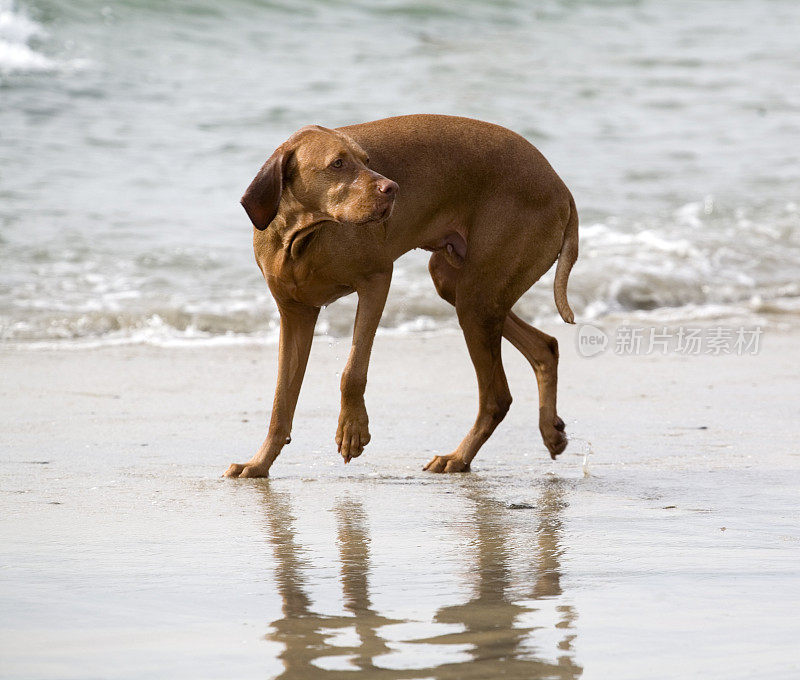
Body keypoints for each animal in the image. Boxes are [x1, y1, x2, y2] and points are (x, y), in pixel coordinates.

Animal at [222, 114, 580, 478]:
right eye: (337, 163)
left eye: (367, 161)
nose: (392, 188)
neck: (301, 237)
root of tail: (559, 184)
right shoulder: (295, 314)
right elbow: (281, 401)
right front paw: (259, 463)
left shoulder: (377, 281)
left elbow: (352, 372)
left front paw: (352, 430)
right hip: (461, 286)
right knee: (544, 346)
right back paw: (549, 431)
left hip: (477, 299)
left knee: (496, 397)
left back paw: (459, 457)